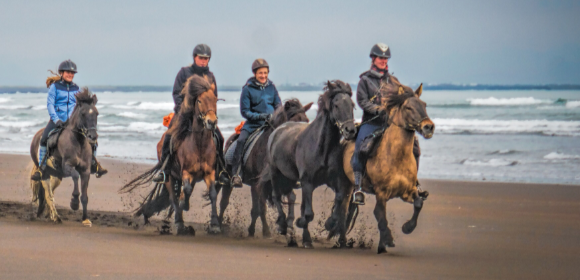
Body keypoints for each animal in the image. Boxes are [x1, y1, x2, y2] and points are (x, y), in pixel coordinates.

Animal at [29, 88, 99, 226]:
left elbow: (84, 196)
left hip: (56, 175)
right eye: (83, 114)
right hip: (45, 174)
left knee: (48, 193)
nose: (92, 136)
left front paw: (85, 219)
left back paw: (48, 214)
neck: (78, 142)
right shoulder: (67, 166)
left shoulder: (86, 171)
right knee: (49, 194)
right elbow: (75, 176)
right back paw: (56, 217)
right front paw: (74, 202)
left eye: (96, 114)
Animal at [121, 74, 221, 234]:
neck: (199, 144)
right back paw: (179, 223)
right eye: (199, 100)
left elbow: (212, 194)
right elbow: (185, 191)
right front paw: (184, 204)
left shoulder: (208, 172)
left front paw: (215, 225)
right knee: (173, 196)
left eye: (215, 99)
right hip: (169, 176)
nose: (211, 122)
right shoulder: (186, 172)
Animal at [220, 99, 312, 237]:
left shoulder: (280, 182)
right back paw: (217, 225)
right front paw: (266, 231)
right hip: (231, 179)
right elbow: (261, 208)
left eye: (306, 121)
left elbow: (290, 198)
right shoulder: (261, 184)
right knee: (224, 202)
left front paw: (288, 226)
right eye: (293, 121)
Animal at [260, 80, 358, 248]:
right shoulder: (307, 183)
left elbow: (339, 201)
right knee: (277, 196)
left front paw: (330, 223)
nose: (350, 131)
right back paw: (283, 226)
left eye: (351, 104)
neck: (322, 148)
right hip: (275, 173)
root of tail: (278, 129)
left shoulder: (335, 180)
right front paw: (304, 234)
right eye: (336, 105)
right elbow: (307, 213)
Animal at [342, 83, 432, 254]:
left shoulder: (407, 191)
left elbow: (418, 203)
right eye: (409, 107)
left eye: (424, 105)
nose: (429, 127)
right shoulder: (381, 193)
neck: (397, 158)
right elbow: (379, 214)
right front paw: (388, 239)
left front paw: (407, 227)